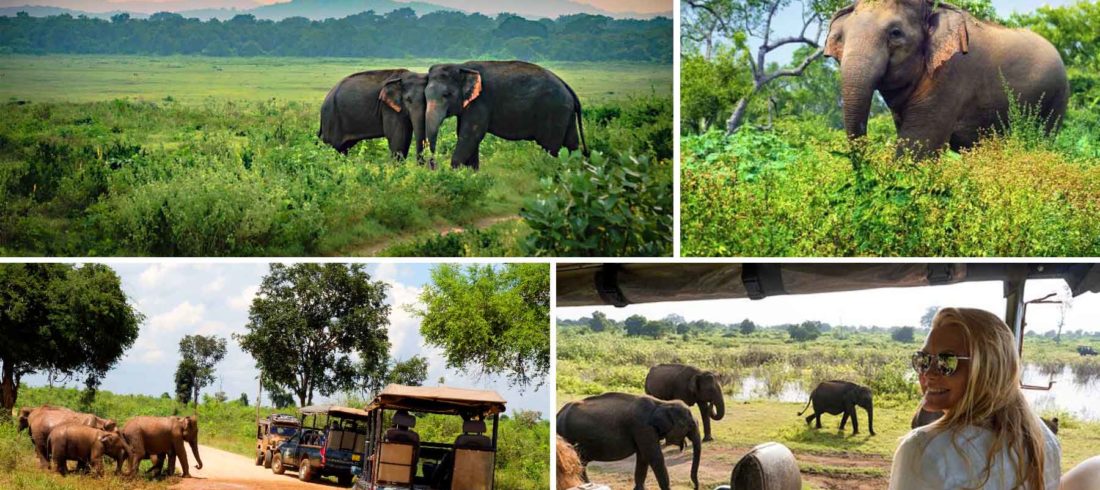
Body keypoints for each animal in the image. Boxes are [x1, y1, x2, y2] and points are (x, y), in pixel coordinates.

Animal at [424, 60, 589, 169]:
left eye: (447, 95)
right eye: (425, 95)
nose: (432, 164)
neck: (461, 66)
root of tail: (567, 87)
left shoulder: (480, 102)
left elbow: (470, 136)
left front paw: (455, 172)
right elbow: (466, 136)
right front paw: (471, 174)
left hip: (554, 112)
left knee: (550, 147)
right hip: (565, 113)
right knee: (571, 144)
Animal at [554, 392, 699, 490]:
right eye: (690, 425)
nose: (694, 486)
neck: (662, 403)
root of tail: (558, 414)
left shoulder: (643, 431)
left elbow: (643, 458)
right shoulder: (642, 428)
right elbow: (654, 457)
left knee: (581, 462)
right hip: (567, 435)